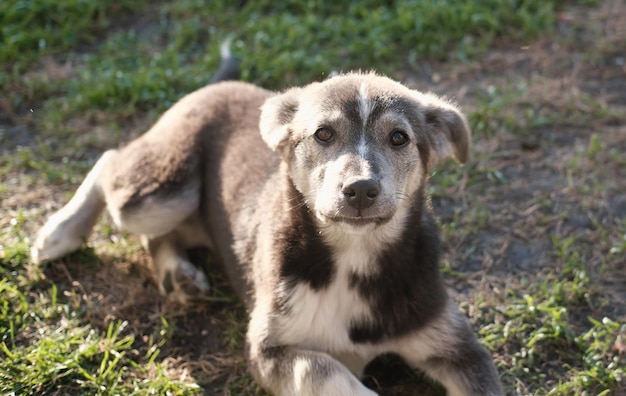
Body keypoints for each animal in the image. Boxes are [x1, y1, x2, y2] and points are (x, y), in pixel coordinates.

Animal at [33, 51, 502, 392]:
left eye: (399, 138)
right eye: (323, 134)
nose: (360, 190)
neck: (351, 257)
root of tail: (214, 86)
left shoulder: (459, 347)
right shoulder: (267, 348)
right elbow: (323, 370)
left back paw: (177, 275)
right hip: (158, 191)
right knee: (110, 161)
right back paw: (58, 233)